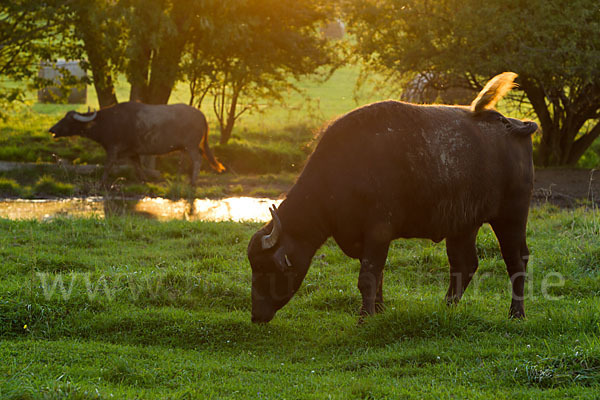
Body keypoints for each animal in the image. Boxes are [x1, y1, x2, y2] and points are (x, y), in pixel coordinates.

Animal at [49, 102, 225, 185]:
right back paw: (178, 178)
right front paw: (145, 180)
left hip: (191, 145)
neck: (107, 122)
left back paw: (193, 182)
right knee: (185, 161)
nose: (52, 129)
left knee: (197, 159)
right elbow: (138, 166)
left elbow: (108, 166)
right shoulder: (133, 152)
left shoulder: (113, 148)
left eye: (68, 120)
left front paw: (101, 183)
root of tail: (201, 114)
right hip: (186, 147)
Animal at [248, 72, 540, 322]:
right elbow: (377, 276)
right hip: (463, 225)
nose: (256, 316)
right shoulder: (367, 239)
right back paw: (447, 308)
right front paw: (377, 311)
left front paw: (364, 318)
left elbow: (367, 276)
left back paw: (516, 314)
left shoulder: (378, 231)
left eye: (265, 267)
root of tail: (512, 125)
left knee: (516, 261)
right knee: (464, 264)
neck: (343, 170)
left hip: (512, 216)